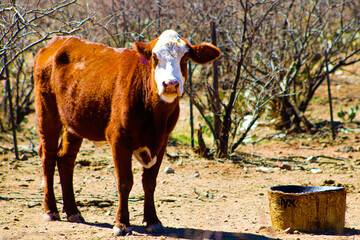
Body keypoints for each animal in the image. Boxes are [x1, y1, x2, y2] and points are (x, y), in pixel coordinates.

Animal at [34, 29, 219, 235]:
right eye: (154, 57)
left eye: (185, 57)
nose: (170, 84)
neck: (155, 115)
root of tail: (57, 42)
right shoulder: (118, 138)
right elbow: (125, 181)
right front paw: (121, 223)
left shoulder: (162, 141)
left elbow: (150, 181)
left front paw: (153, 221)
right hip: (47, 111)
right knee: (48, 157)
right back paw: (51, 210)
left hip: (73, 122)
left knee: (65, 158)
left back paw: (73, 211)